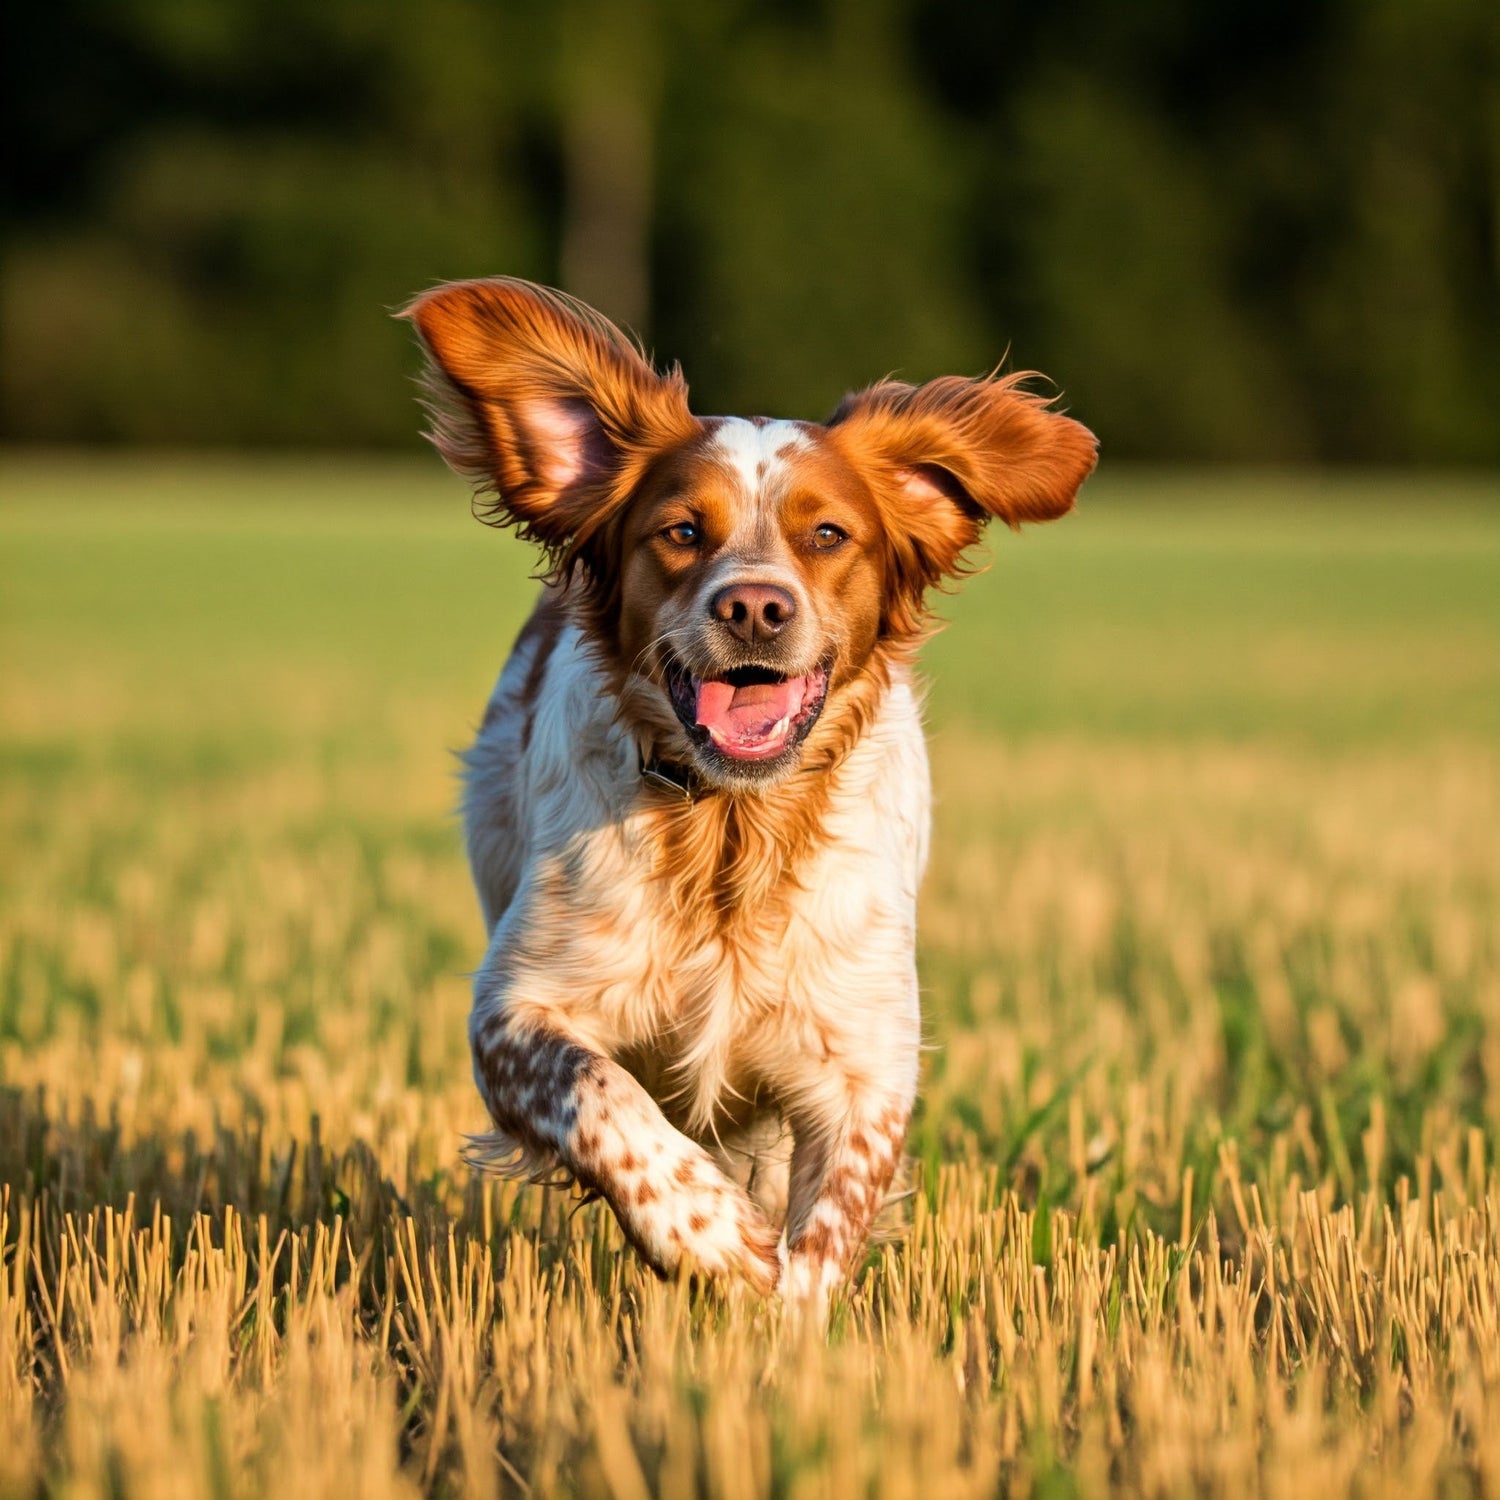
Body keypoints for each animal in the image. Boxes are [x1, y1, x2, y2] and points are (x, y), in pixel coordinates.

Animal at [405, 276, 1098, 1308]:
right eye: (682, 532)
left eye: (828, 534)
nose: (755, 607)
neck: (735, 831)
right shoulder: (515, 1010)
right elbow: (602, 1098)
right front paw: (709, 1234)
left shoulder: (864, 1061)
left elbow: (828, 1228)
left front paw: (785, 1322)